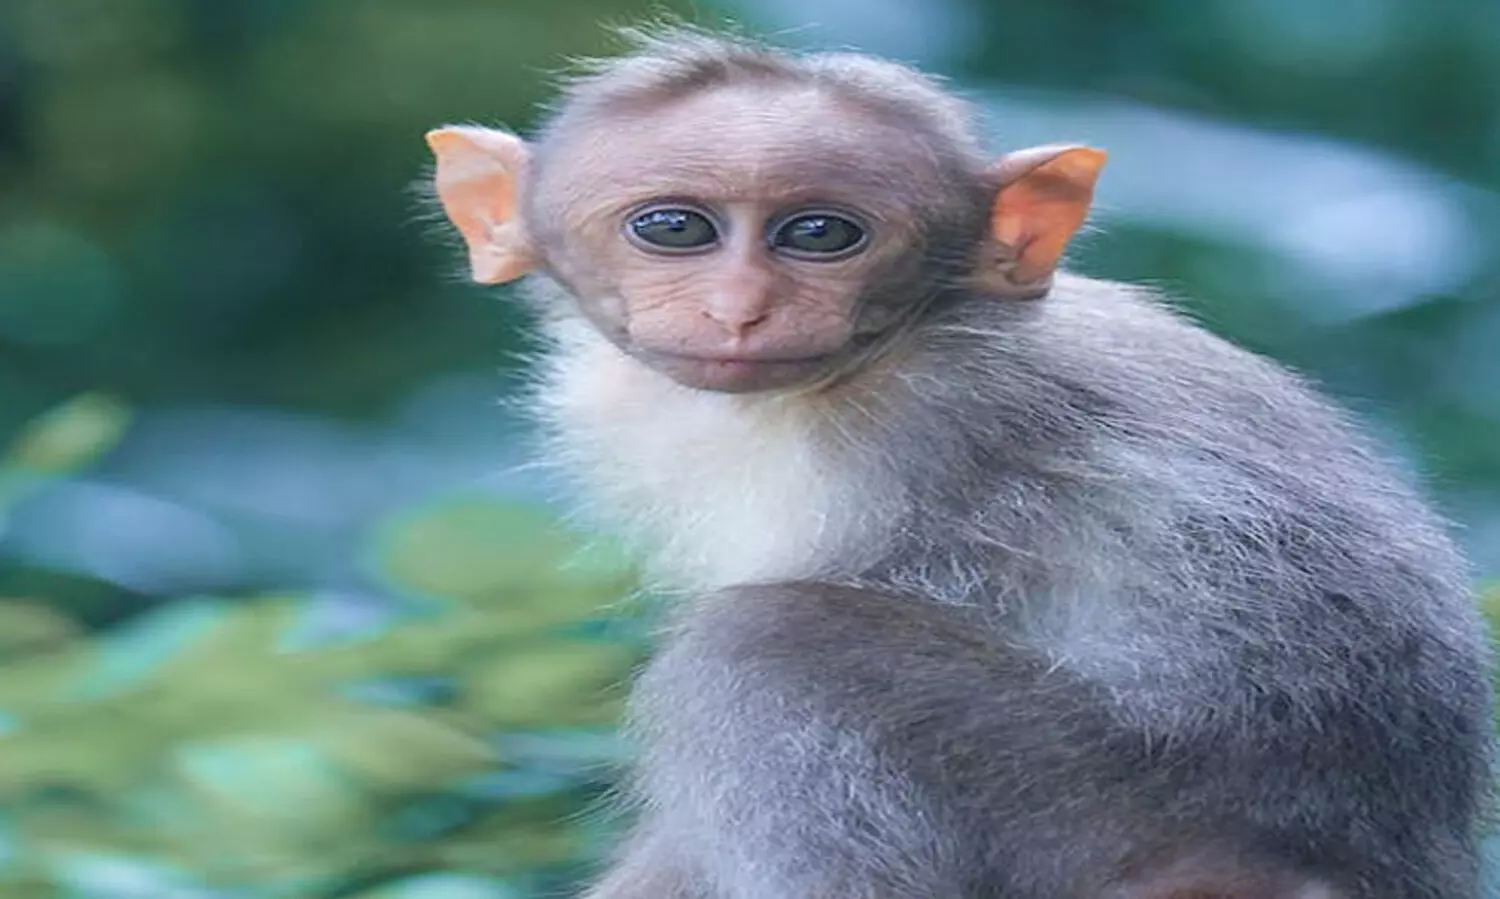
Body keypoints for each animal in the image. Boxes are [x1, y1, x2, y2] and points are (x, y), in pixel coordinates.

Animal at [423, 25, 1495, 899]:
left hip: (1131, 821)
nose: (739, 309)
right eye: (674, 226)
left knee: (764, 646)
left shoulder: (921, 434)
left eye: (820, 233)